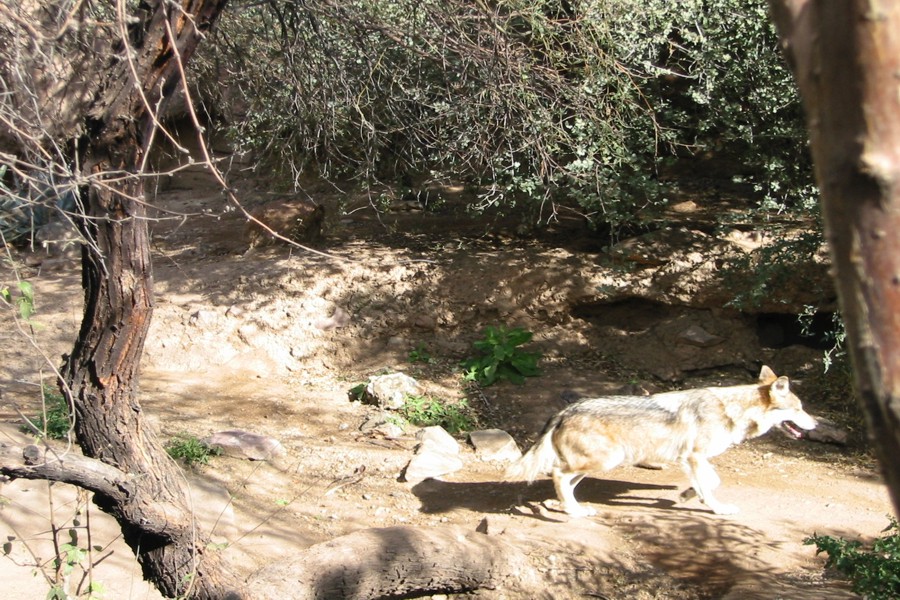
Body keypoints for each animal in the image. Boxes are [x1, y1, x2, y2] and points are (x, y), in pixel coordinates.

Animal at [506, 364, 816, 516]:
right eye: (799, 409)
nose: (815, 424)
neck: (733, 410)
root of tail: (566, 410)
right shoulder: (694, 456)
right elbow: (711, 486)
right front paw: (717, 508)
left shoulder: (693, 458)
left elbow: (712, 481)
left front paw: (689, 494)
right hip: (606, 459)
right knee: (557, 474)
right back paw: (574, 512)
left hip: (597, 463)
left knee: (564, 482)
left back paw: (568, 506)